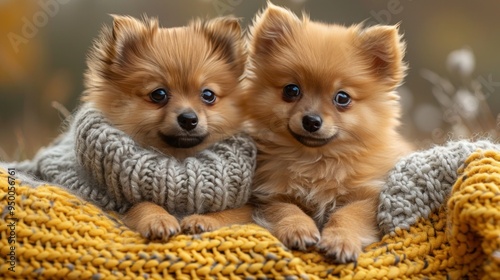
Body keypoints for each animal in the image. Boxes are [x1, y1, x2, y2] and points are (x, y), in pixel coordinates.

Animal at [83, 13, 246, 241]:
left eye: (208, 95)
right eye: (159, 94)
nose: (188, 119)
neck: (178, 158)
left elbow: (230, 211)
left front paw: (202, 220)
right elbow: (143, 203)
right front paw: (158, 219)